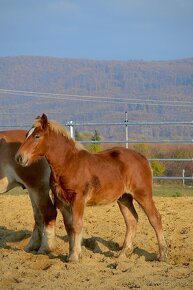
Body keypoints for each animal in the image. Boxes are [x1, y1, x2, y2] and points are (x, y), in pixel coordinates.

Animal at [15, 115, 167, 262]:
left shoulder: (78, 200)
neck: (68, 164)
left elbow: (77, 225)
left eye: (37, 136)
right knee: (132, 221)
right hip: (124, 198)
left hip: (143, 194)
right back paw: (123, 254)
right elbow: (69, 227)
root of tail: (143, 158)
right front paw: (70, 255)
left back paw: (162, 255)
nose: (19, 157)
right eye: (27, 135)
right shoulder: (62, 203)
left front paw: (75, 257)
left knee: (155, 218)